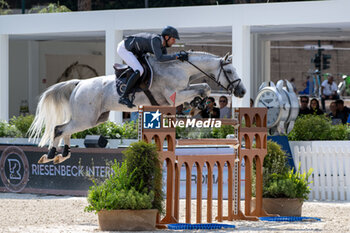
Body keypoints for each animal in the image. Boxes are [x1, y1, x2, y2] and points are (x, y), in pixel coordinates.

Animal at [28, 51, 246, 164]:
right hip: (86, 118)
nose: (242, 91)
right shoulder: (174, 95)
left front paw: (198, 103)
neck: (179, 68)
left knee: (66, 129)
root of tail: (79, 83)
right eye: (229, 71)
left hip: (95, 118)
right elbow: (205, 87)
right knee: (59, 128)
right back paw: (50, 155)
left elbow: (202, 87)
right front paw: (199, 101)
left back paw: (62, 154)